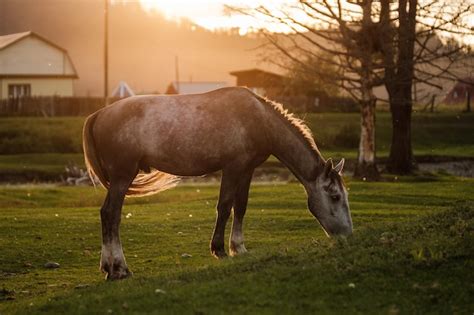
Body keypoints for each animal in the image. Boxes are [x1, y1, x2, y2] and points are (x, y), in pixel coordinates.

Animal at [82, 87, 352, 282]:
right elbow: (224, 206)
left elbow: (240, 206)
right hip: (122, 177)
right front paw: (219, 249)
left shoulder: (247, 170)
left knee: (108, 215)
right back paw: (118, 268)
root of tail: (98, 115)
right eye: (335, 196)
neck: (258, 119)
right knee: (111, 214)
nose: (347, 235)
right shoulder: (232, 168)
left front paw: (238, 247)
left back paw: (109, 267)